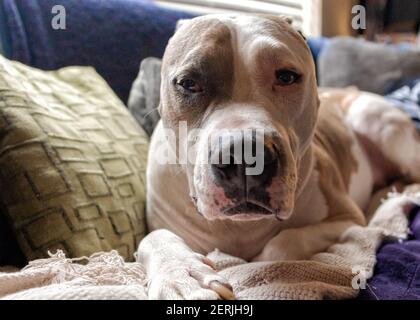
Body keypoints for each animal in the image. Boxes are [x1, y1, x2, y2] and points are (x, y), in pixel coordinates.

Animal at [136, 13, 418, 298]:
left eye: (286, 77)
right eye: (188, 83)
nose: (245, 157)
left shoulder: (346, 219)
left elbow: (281, 244)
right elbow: (151, 238)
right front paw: (180, 275)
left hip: (378, 122)